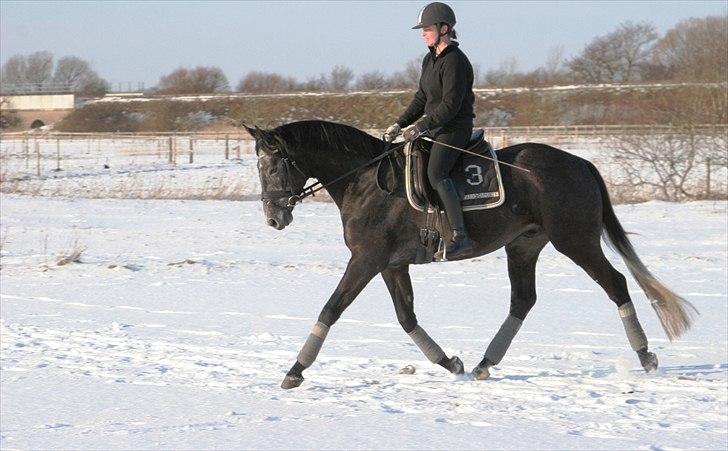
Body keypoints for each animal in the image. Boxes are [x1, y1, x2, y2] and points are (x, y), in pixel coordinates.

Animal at [242, 121, 696, 392]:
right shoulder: (391, 264)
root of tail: (580, 162)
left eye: (275, 166)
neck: (365, 181)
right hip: (524, 245)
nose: (273, 218)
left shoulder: (367, 261)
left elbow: (331, 309)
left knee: (615, 283)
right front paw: (450, 363)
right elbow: (406, 318)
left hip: (575, 241)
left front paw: (295, 371)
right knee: (523, 300)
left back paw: (645, 356)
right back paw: (483, 364)